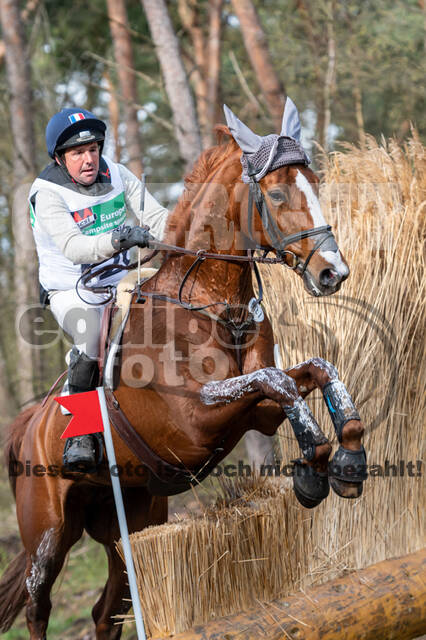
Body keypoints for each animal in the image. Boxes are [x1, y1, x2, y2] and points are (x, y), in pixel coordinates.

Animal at [0, 102, 366, 636]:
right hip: (47, 532)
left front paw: (348, 459)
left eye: (315, 183)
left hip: (131, 517)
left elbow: (315, 370)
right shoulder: (196, 418)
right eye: (277, 192)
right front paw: (314, 471)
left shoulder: (258, 413)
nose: (332, 273)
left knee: (107, 609)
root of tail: (30, 422)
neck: (214, 306)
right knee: (37, 606)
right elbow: (276, 380)